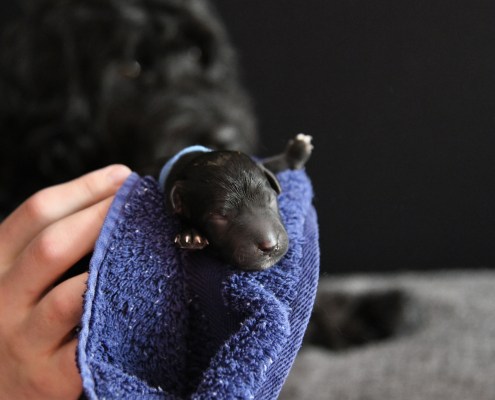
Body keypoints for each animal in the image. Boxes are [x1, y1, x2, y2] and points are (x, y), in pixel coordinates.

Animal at [161, 134, 313, 271]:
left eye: (270, 199)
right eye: (220, 217)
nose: (270, 247)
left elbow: (271, 164)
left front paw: (295, 152)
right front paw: (190, 236)